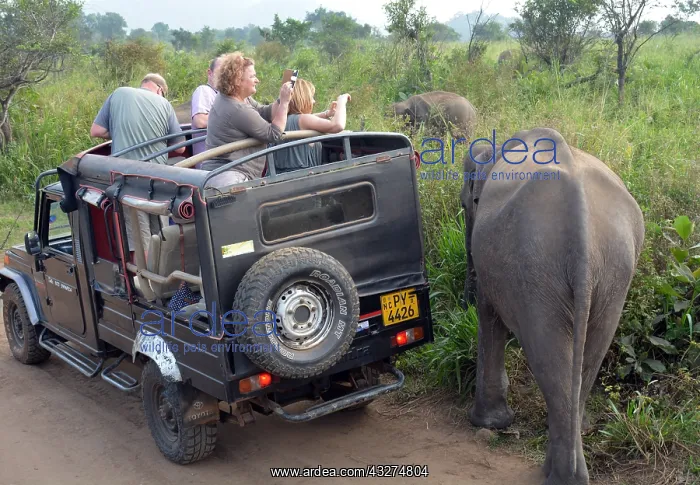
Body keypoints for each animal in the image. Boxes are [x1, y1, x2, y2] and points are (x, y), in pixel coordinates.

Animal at [459, 127, 645, 485]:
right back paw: (572, 452)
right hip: (615, 272)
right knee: (589, 353)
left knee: (547, 352)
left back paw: (560, 476)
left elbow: (489, 314)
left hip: (536, 269)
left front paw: (487, 424)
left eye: (465, 204)